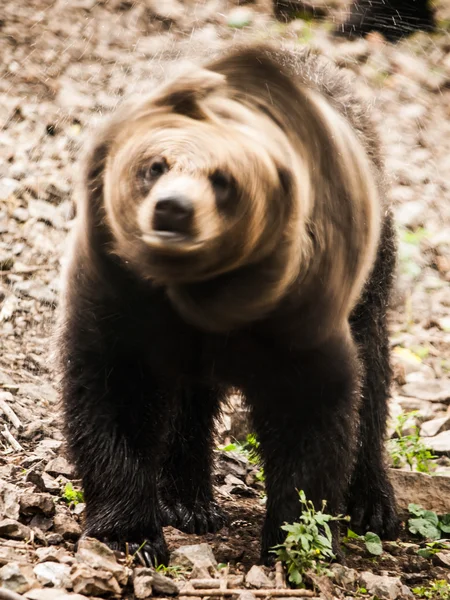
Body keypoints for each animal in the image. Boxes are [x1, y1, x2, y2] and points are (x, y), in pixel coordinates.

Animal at [58, 43, 400, 568]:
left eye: (225, 180)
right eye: (155, 165)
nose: (173, 210)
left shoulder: (300, 316)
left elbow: (314, 405)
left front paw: (295, 538)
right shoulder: (123, 299)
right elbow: (118, 395)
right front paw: (131, 531)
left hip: (371, 272)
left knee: (373, 370)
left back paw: (373, 503)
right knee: (188, 402)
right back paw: (188, 500)